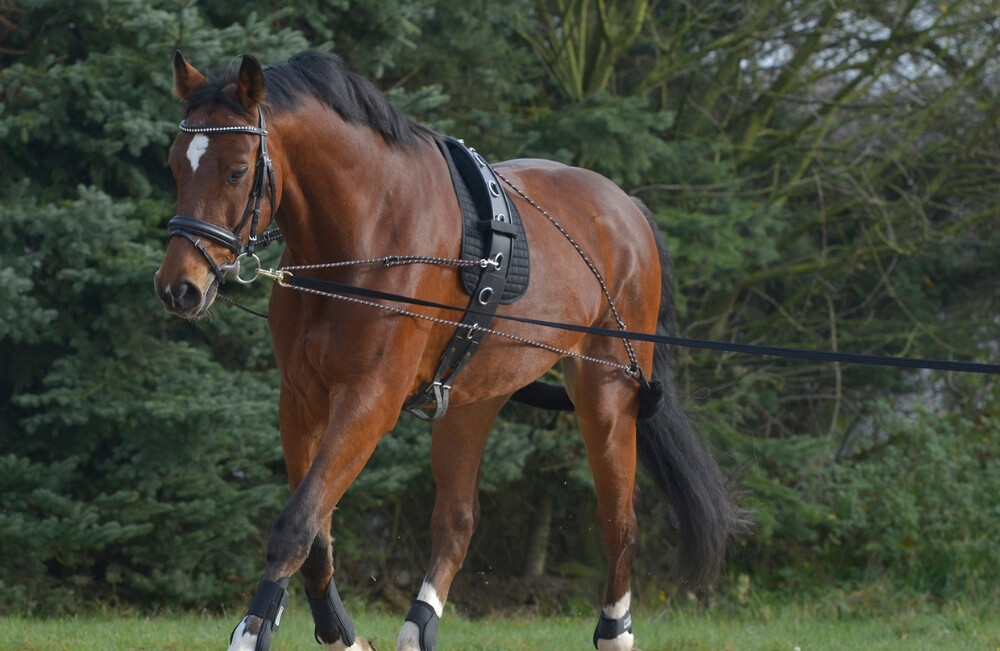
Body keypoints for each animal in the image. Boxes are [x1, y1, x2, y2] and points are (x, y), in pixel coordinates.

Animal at [154, 50, 741, 651]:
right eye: (175, 165)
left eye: (236, 171)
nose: (180, 288)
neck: (364, 235)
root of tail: (629, 210)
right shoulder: (300, 399)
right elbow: (315, 531)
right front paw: (337, 634)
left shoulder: (368, 401)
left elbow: (295, 525)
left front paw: (255, 632)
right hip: (471, 399)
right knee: (456, 521)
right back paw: (418, 628)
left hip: (606, 394)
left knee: (618, 521)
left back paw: (613, 632)